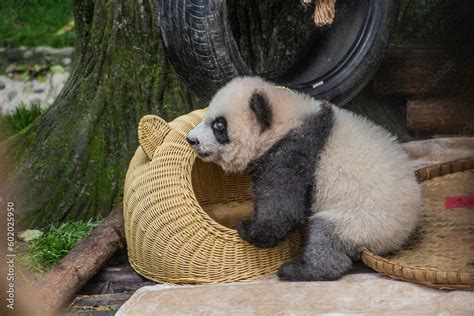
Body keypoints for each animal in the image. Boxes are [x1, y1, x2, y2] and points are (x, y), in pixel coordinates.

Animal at [187, 76, 420, 282]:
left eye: (219, 126)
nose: (191, 139)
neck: (288, 120)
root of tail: (397, 238)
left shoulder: (294, 151)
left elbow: (282, 209)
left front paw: (248, 229)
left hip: (362, 218)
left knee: (325, 236)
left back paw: (299, 270)